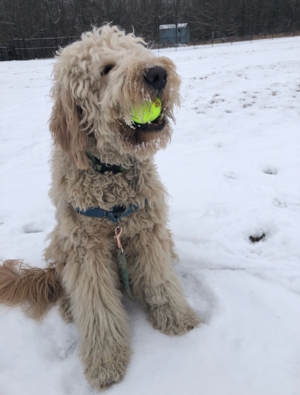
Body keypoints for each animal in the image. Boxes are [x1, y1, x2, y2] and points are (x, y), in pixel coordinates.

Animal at [0, 24, 202, 390]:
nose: (157, 73)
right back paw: (69, 305)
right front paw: (106, 361)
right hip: (60, 241)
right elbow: (96, 309)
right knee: (66, 282)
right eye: (106, 69)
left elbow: (160, 280)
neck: (112, 176)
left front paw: (178, 319)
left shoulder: (148, 231)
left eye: (138, 52)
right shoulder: (85, 250)